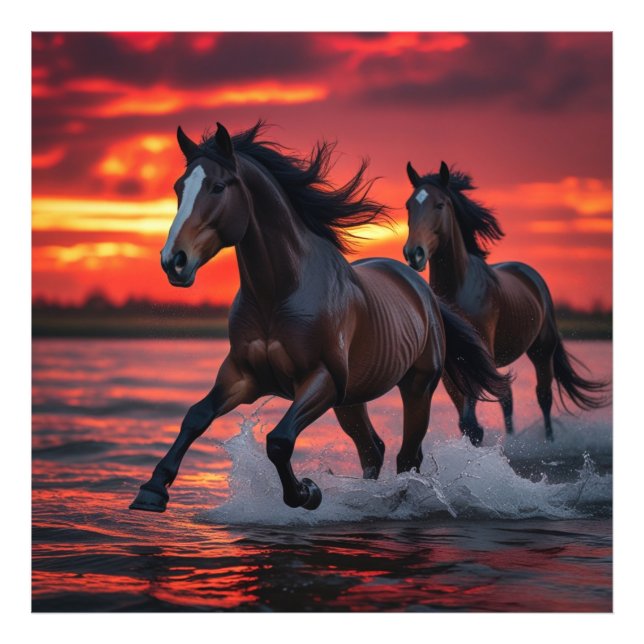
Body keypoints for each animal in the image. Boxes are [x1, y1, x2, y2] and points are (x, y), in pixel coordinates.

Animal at [130, 123, 509, 513]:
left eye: (218, 186)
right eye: (179, 188)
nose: (174, 261)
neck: (279, 293)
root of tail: (425, 293)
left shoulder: (321, 379)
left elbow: (279, 440)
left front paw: (307, 492)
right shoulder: (242, 376)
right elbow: (196, 417)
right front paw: (152, 490)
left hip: (417, 386)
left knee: (407, 457)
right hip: (352, 400)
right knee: (372, 450)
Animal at [403, 160, 609, 444]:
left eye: (440, 204)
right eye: (409, 205)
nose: (414, 253)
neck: (459, 290)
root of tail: (530, 274)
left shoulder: (477, 355)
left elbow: (471, 421)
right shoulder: (453, 364)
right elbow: (467, 421)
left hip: (542, 351)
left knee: (543, 396)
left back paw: (548, 441)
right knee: (507, 396)